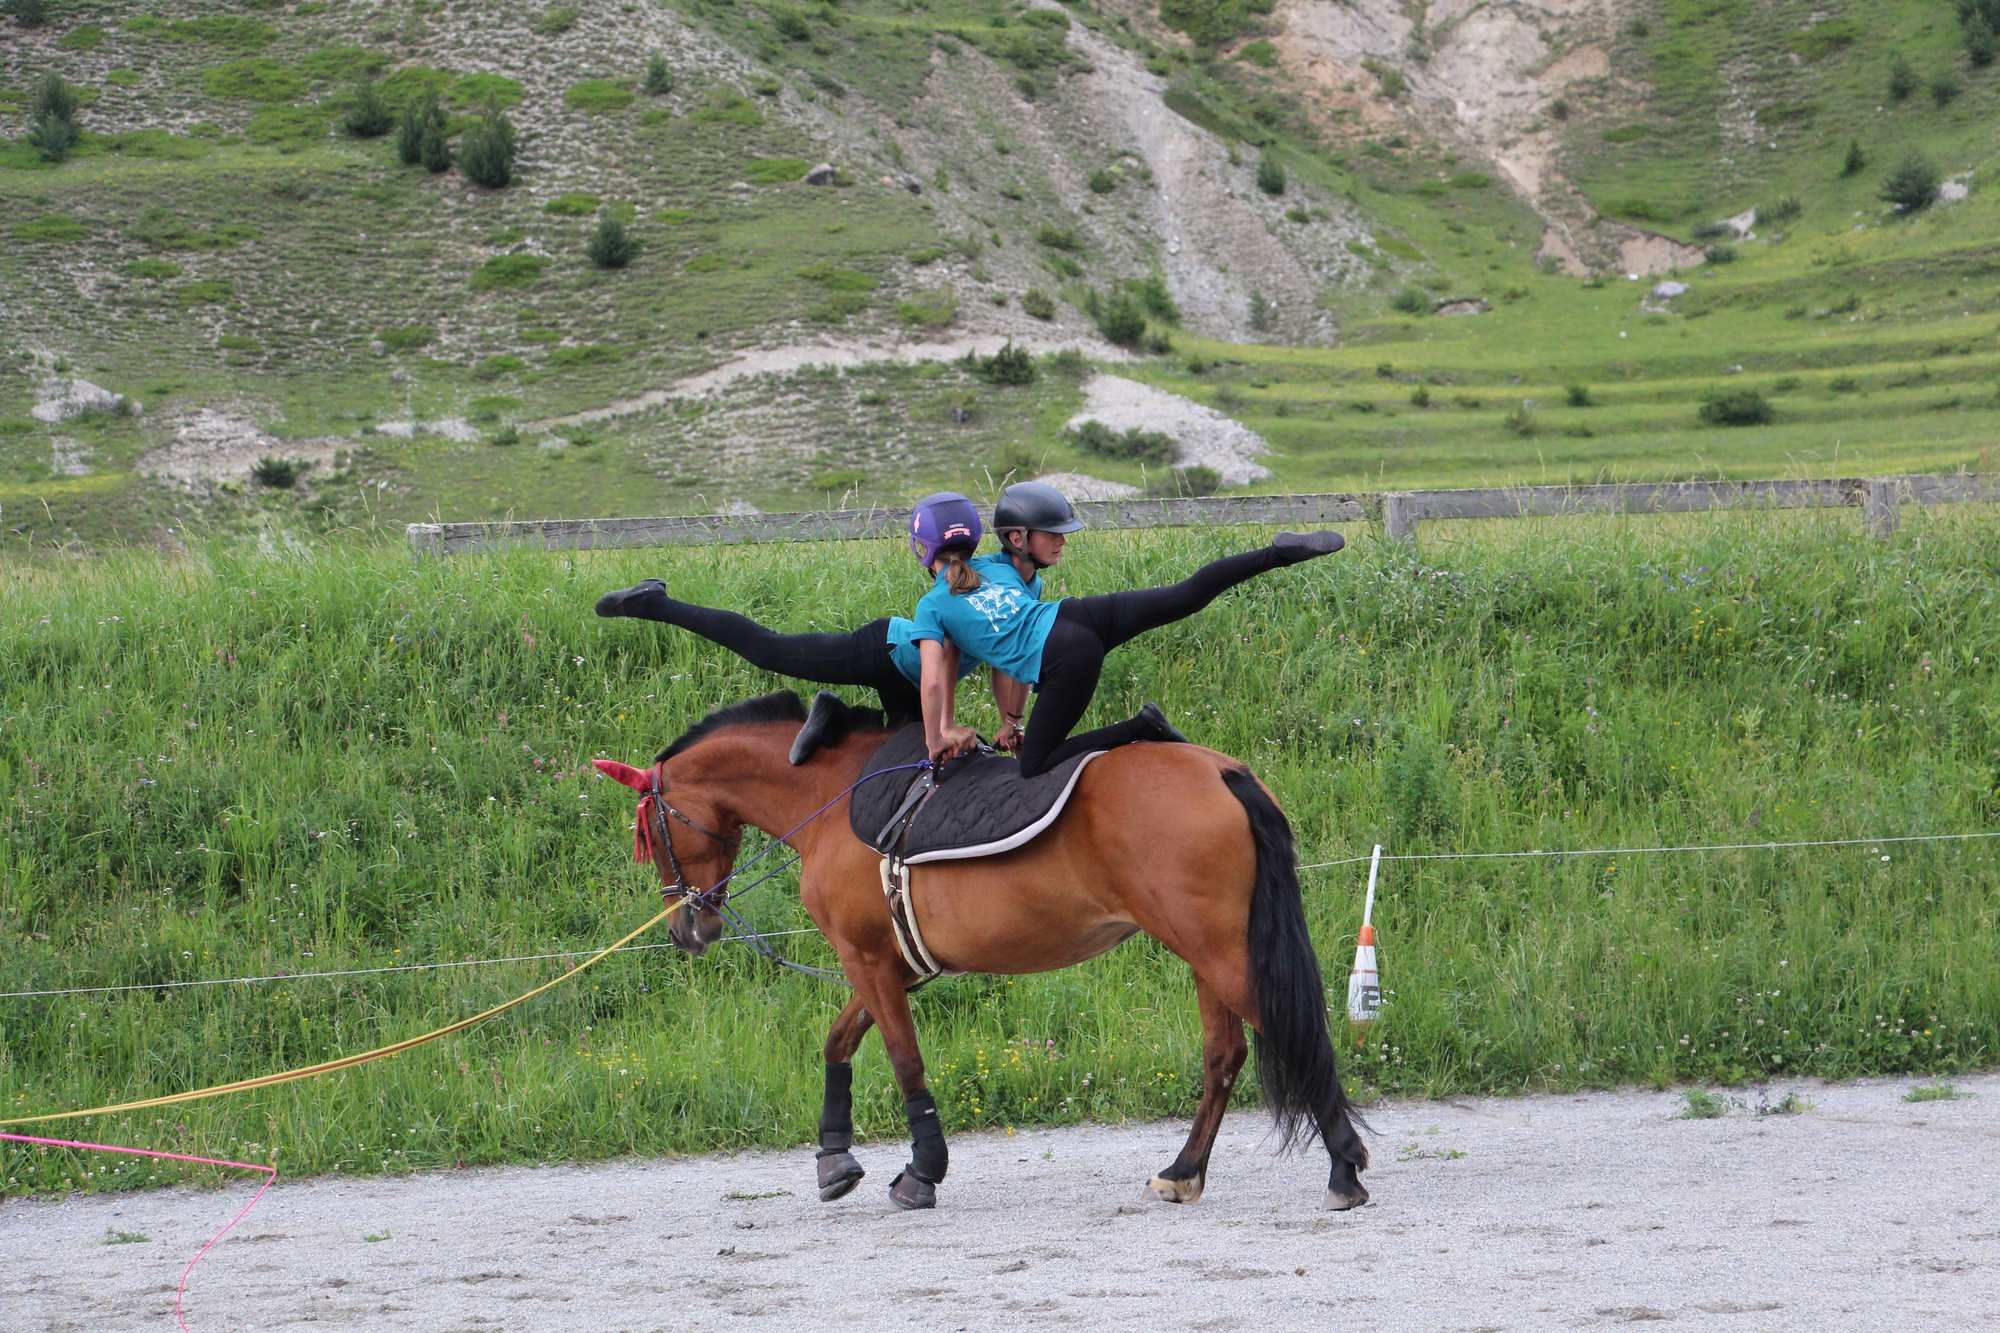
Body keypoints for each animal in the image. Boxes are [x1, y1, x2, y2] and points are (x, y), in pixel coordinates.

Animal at [594, 689, 1370, 1212]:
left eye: (649, 830)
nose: (687, 930)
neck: (830, 794)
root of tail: (1219, 770)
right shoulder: (891, 965)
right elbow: (839, 1042)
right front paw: (834, 1156)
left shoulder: (868, 960)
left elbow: (903, 1059)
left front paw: (922, 1170)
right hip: (1209, 952)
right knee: (1224, 1055)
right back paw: (1183, 1171)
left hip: (1218, 952)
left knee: (1292, 1034)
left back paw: (1344, 1168)